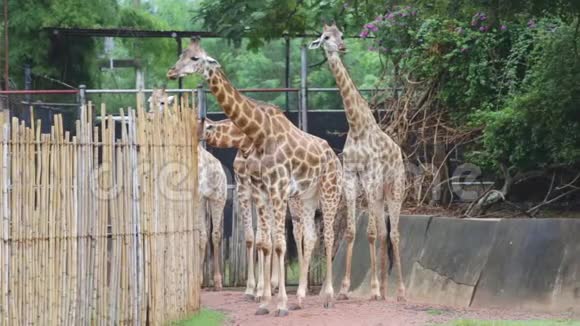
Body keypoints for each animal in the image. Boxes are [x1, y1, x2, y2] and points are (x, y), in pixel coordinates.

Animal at [147, 88, 227, 290]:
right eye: (149, 101)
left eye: (163, 103)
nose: (150, 116)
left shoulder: (195, 198)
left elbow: (198, 235)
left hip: (217, 198)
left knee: (212, 234)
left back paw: (213, 280)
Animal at [165, 38, 342, 316]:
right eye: (182, 54)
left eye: (196, 58)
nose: (172, 72)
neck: (258, 134)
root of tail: (335, 156)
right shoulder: (259, 190)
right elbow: (264, 242)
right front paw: (265, 302)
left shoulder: (276, 188)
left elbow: (278, 243)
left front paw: (279, 304)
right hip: (307, 196)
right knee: (312, 236)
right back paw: (301, 297)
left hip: (329, 191)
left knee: (329, 236)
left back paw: (327, 296)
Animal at [308, 23, 408, 304]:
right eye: (326, 38)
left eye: (341, 35)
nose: (341, 47)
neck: (357, 124)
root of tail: (399, 154)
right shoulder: (351, 176)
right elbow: (353, 232)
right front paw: (343, 289)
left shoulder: (371, 175)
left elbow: (370, 233)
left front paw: (371, 289)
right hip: (379, 192)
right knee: (385, 232)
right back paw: (384, 290)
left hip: (394, 188)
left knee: (394, 233)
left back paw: (398, 292)